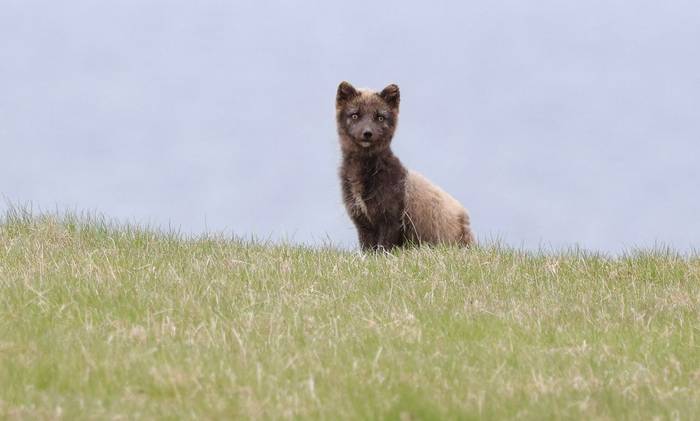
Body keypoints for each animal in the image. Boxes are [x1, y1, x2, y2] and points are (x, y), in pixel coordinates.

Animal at [336, 81, 475, 251]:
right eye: (355, 115)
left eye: (380, 117)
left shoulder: (391, 219)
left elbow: (383, 248)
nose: (367, 133)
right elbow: (368, 249)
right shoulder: (362, 222)